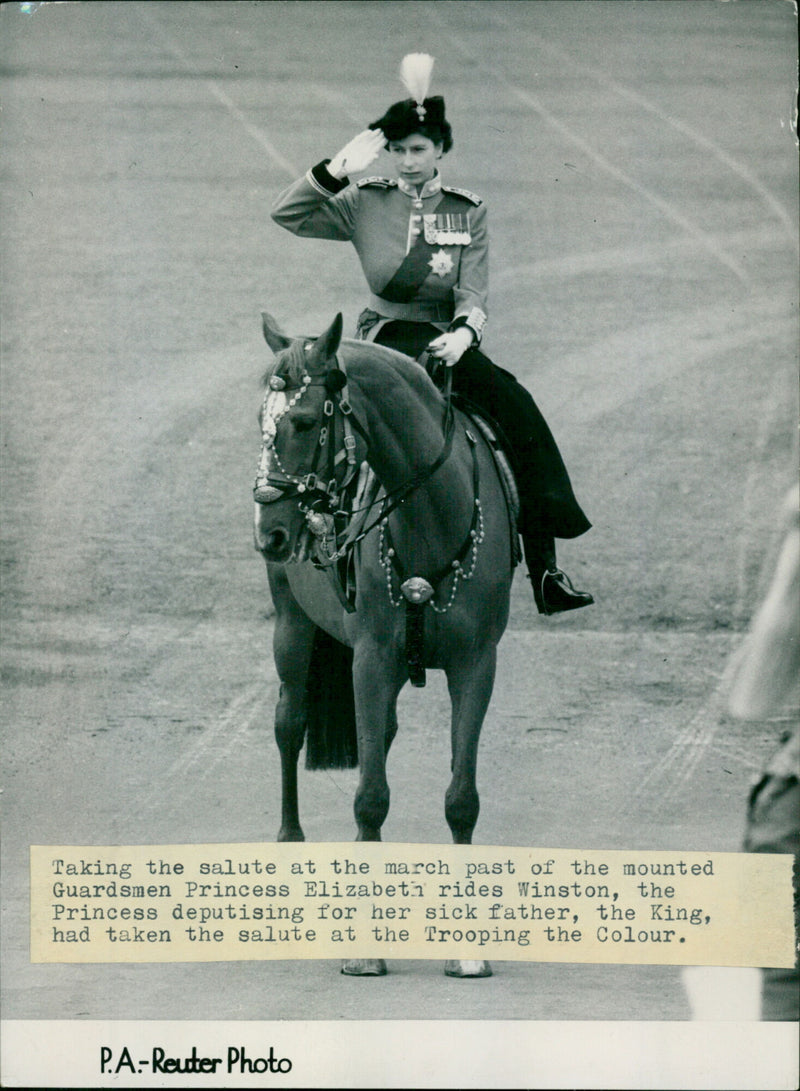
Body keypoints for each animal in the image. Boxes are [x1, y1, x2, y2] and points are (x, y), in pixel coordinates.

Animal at [255, 312, 517, 977]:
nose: (268, 530)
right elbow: (370, 796)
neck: (433, 514)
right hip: (292, 628)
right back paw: (289, 846)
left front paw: (467, 948)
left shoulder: (476, 666)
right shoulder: (371, 661)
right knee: (289, 724)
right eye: (261, 422)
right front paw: (366, 947)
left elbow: (461, 798)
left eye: (303, 421)